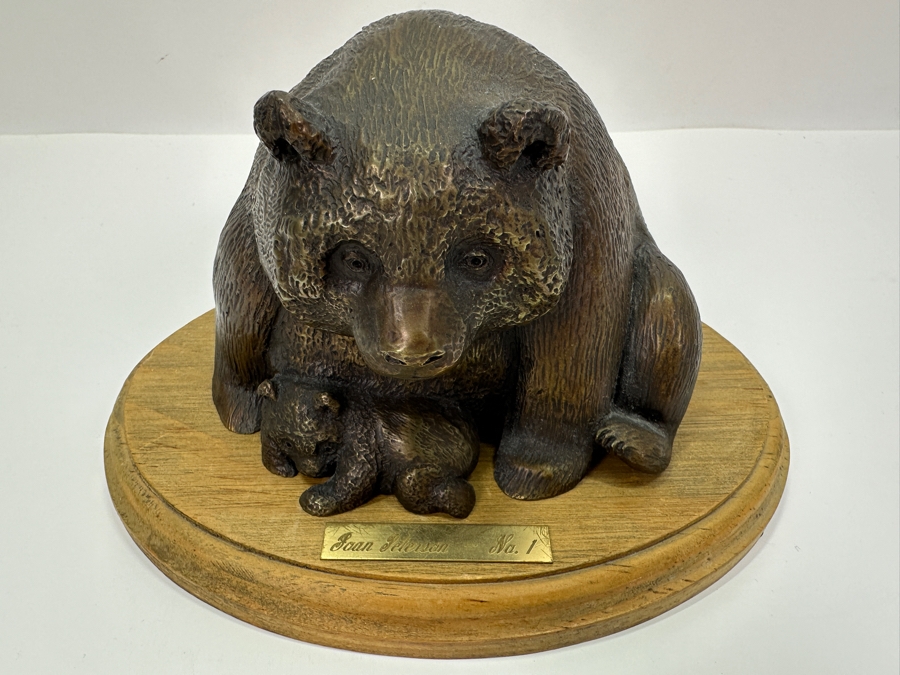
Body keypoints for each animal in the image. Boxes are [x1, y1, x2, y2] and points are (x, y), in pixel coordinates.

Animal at [256, 373, 480, 518]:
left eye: (325, 445)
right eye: (288, 443)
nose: (312, 471)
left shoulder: (361, 434)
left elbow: (357, 474)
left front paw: (316, 497)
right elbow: (267, 435)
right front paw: (280, 465)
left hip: (451, 451)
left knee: (410, 480)